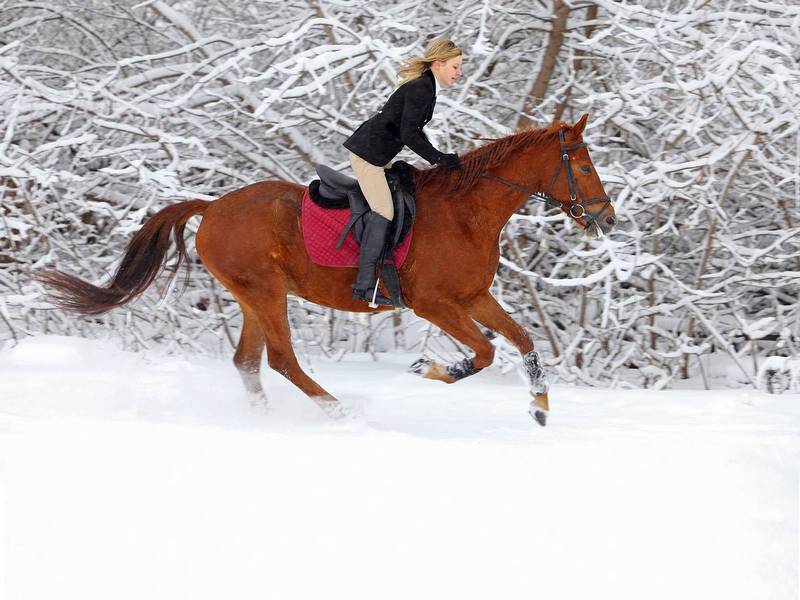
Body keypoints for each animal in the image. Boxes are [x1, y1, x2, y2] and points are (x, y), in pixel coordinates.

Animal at [36, 113, 615, 426]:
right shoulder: (434, 303)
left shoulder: (472, 297)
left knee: (248, 363)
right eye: (584, 165)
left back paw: (265, 421)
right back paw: (343, 414)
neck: (467, 212)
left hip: (253, 297)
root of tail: (212, 206)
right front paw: (428, 369)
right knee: (281, 361)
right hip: (266, 293)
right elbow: (486, 351)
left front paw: (540, 406)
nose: (607, 218)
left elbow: (522, 341)